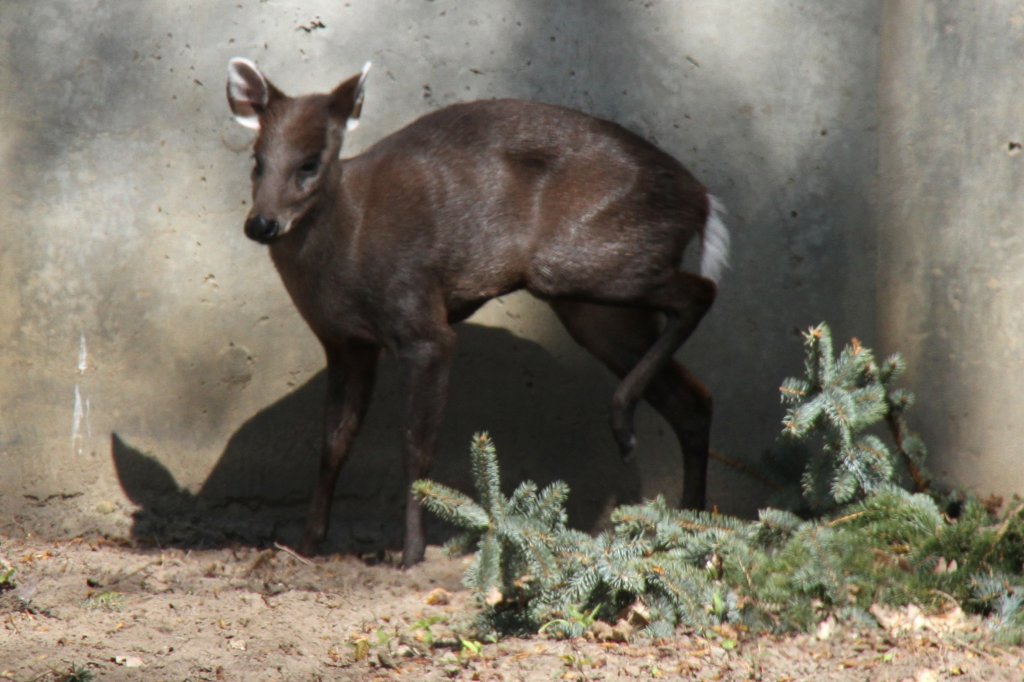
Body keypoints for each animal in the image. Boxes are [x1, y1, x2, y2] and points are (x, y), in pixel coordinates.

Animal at [225, 58, 729, 561]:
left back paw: (626, 431)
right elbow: (334, 441)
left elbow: (415, 447)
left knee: (702, 292)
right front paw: (306, 544)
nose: (261, 224)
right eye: (257, 161)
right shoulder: (346, 343)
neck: (349, 244)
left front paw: (411, 554)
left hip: (576, 264)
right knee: (693, 397)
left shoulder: (421, 324)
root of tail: (702, 201)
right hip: (595, 310)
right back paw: (688, 531)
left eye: (309, 163)